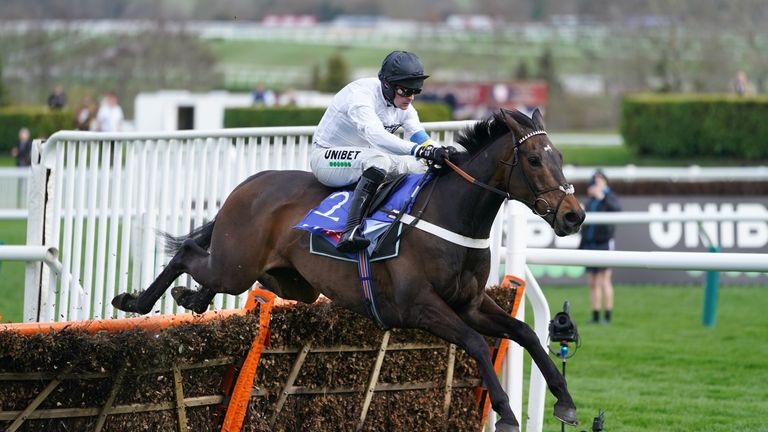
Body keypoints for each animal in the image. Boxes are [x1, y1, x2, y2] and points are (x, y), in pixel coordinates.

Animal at [112, 109, 584, 432]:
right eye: (534, 160)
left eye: (560, 155)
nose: (574, 216)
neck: (451, 215)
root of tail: (246, 184)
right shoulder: (420, 307)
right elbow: (476, 344)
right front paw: (506, 412)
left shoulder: (469, 302)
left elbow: (525, 334)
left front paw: (564, 401)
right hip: (236, 268)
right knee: (187, 252)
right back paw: (138, 301)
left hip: (285, 280)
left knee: (208, 268)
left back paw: (190, 298)